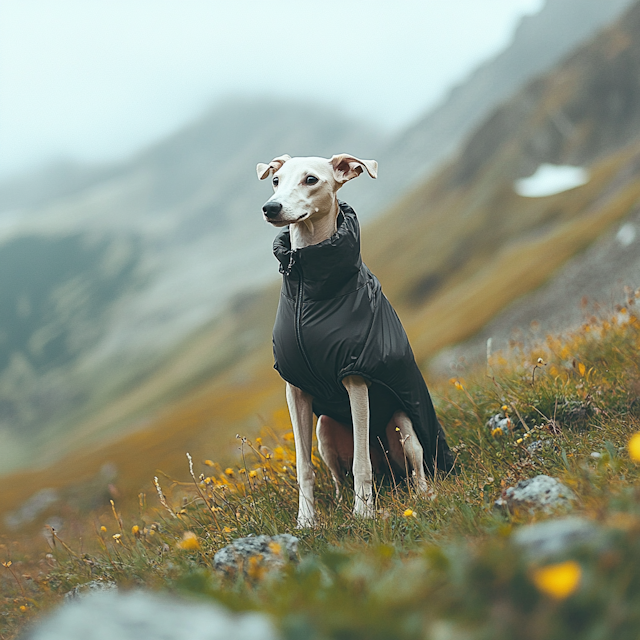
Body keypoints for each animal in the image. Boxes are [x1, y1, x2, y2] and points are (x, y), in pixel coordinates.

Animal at [258, 154, 452, 524]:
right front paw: (306, 521)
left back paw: (421, 495)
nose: (270, 208)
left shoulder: (356, 379)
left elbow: (362, 463)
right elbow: (303, 466)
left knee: (413, 465)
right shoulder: (295, 389)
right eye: (275, 180)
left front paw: (363, 513)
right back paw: (338, 502)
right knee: (340, 475)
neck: (307, 284)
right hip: (325, 432)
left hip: (403, 425)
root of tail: (390, 475)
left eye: (311, 179)